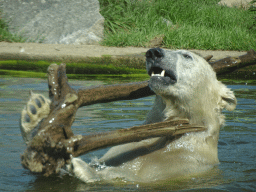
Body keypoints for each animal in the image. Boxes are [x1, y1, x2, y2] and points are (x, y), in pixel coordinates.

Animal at [20, 48, 236, 183]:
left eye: (187, 56)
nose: (154, 52)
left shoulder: (182, 164)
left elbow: (127, 176)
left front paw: (81, 168)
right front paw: (34, 112)